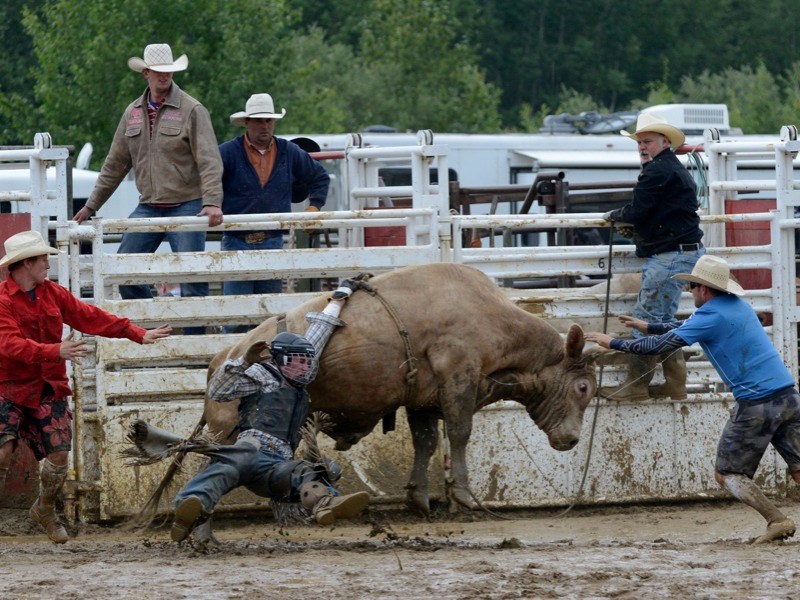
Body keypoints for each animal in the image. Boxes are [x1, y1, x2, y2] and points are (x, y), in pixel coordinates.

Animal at [203, 264, 596, 516]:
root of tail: (219, 360)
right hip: (228, 431)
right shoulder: (459, 379)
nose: (572, 440)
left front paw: (418, 497)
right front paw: (463, 495)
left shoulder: (423, 399)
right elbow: (459, 433)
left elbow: (426, 442)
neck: (491, 318)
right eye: (582, 387)